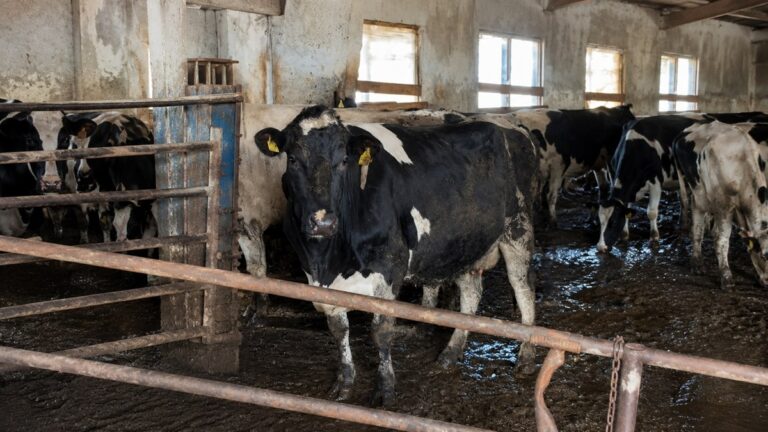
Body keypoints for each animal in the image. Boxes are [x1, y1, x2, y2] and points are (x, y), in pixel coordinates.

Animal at [57, 112, 156, 242]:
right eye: (75, 146)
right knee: (85, 221)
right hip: (75, 192)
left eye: (103, 147)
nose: (83, 178)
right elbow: (119, 228)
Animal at [253, 106, 537, 405]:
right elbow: (338, 328)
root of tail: (506, 124)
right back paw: (450, 352)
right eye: (293, 159)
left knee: (523, 286)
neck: (330, 260)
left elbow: (381, 331)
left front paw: (386, 388)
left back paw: (526, 356)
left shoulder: (389, 267)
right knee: (471, 293)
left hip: (518, 228)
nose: (323, 223)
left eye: (344, 160)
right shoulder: (317, 279)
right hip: (466, 242)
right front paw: (344, 381)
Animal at [674, 121, 768, 289]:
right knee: (697, 229)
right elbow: (722, 240)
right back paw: (697, 263)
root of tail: (688, 130)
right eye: (764, 256)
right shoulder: (724, 207)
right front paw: (726, 276)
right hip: (697, 194)